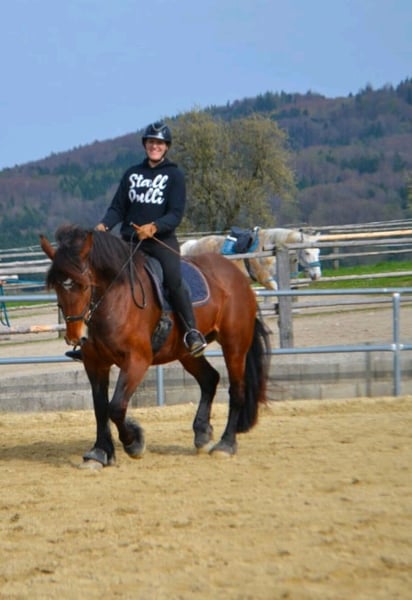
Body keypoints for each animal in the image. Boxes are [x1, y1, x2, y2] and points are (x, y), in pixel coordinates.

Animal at [40, 224, 271, 467]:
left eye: (85, 286)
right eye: (56, 287)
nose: (76, 337)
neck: (114, 299)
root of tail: (237, 276)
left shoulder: (137, 361)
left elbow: (116, 407)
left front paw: (134, 442)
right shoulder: (95, 363)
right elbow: (100, 407)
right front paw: (100, 452)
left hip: (234, 345)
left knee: (237, 390)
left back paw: (225, 445)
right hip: (185, 352)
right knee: (210, 379)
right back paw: (202, 433)